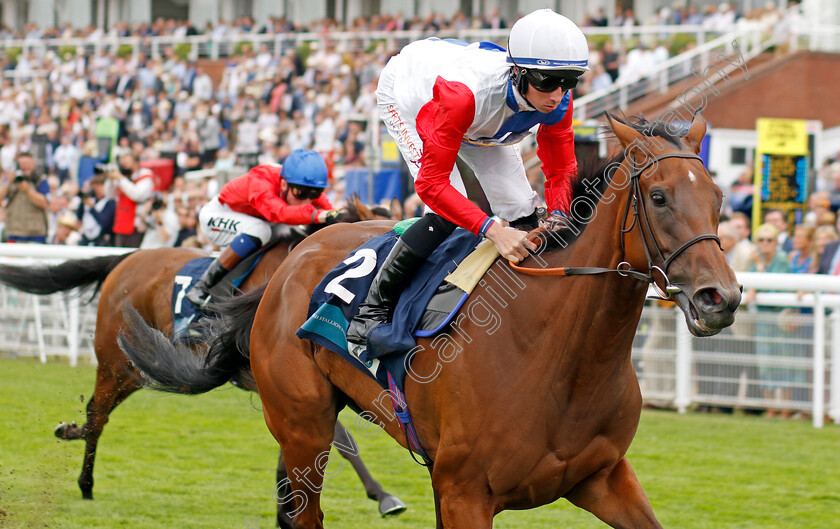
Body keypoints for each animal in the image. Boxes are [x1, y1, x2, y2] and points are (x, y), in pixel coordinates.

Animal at [0, 198, 404, 524]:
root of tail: (129, 257)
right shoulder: (284, 379)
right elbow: (341, 440)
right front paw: (384, 497)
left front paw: (285, 506)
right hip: (116, 361)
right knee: (98, 412)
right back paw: (85, 482)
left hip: (142, 366)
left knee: (96, 412)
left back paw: (71, 433)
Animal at [120, 116, 740, 528]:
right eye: (658, 197)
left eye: (718, 196)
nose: (721, 297)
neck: (560, 355)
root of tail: (294, 257)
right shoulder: (465, 491)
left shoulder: (601, 477)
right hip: (301, 425)